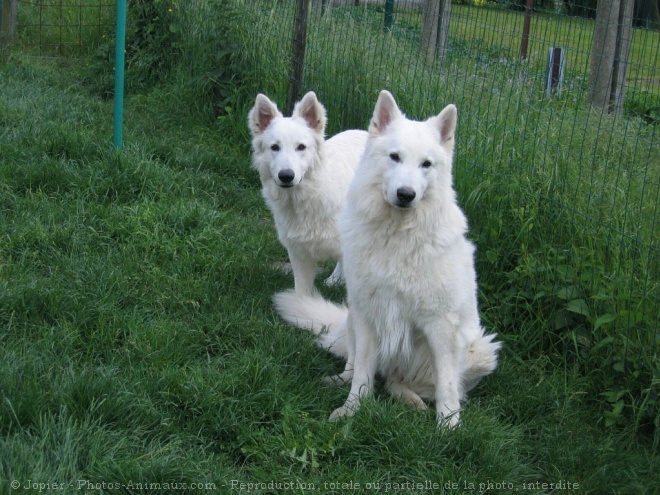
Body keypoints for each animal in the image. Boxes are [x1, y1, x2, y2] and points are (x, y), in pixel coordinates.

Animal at [274, 91, 500, 428]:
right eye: (394, 157)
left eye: (426, 164)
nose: (406, 194)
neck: (397, 235)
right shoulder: (369, 315)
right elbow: (362, 376)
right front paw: (352, 409)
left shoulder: (440, 326)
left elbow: (447, 387)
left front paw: (448, 427)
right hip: (353, 318)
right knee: (363, 369)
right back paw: (340, 382)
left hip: (480, 349)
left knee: (407, 383)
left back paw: (414, 402)